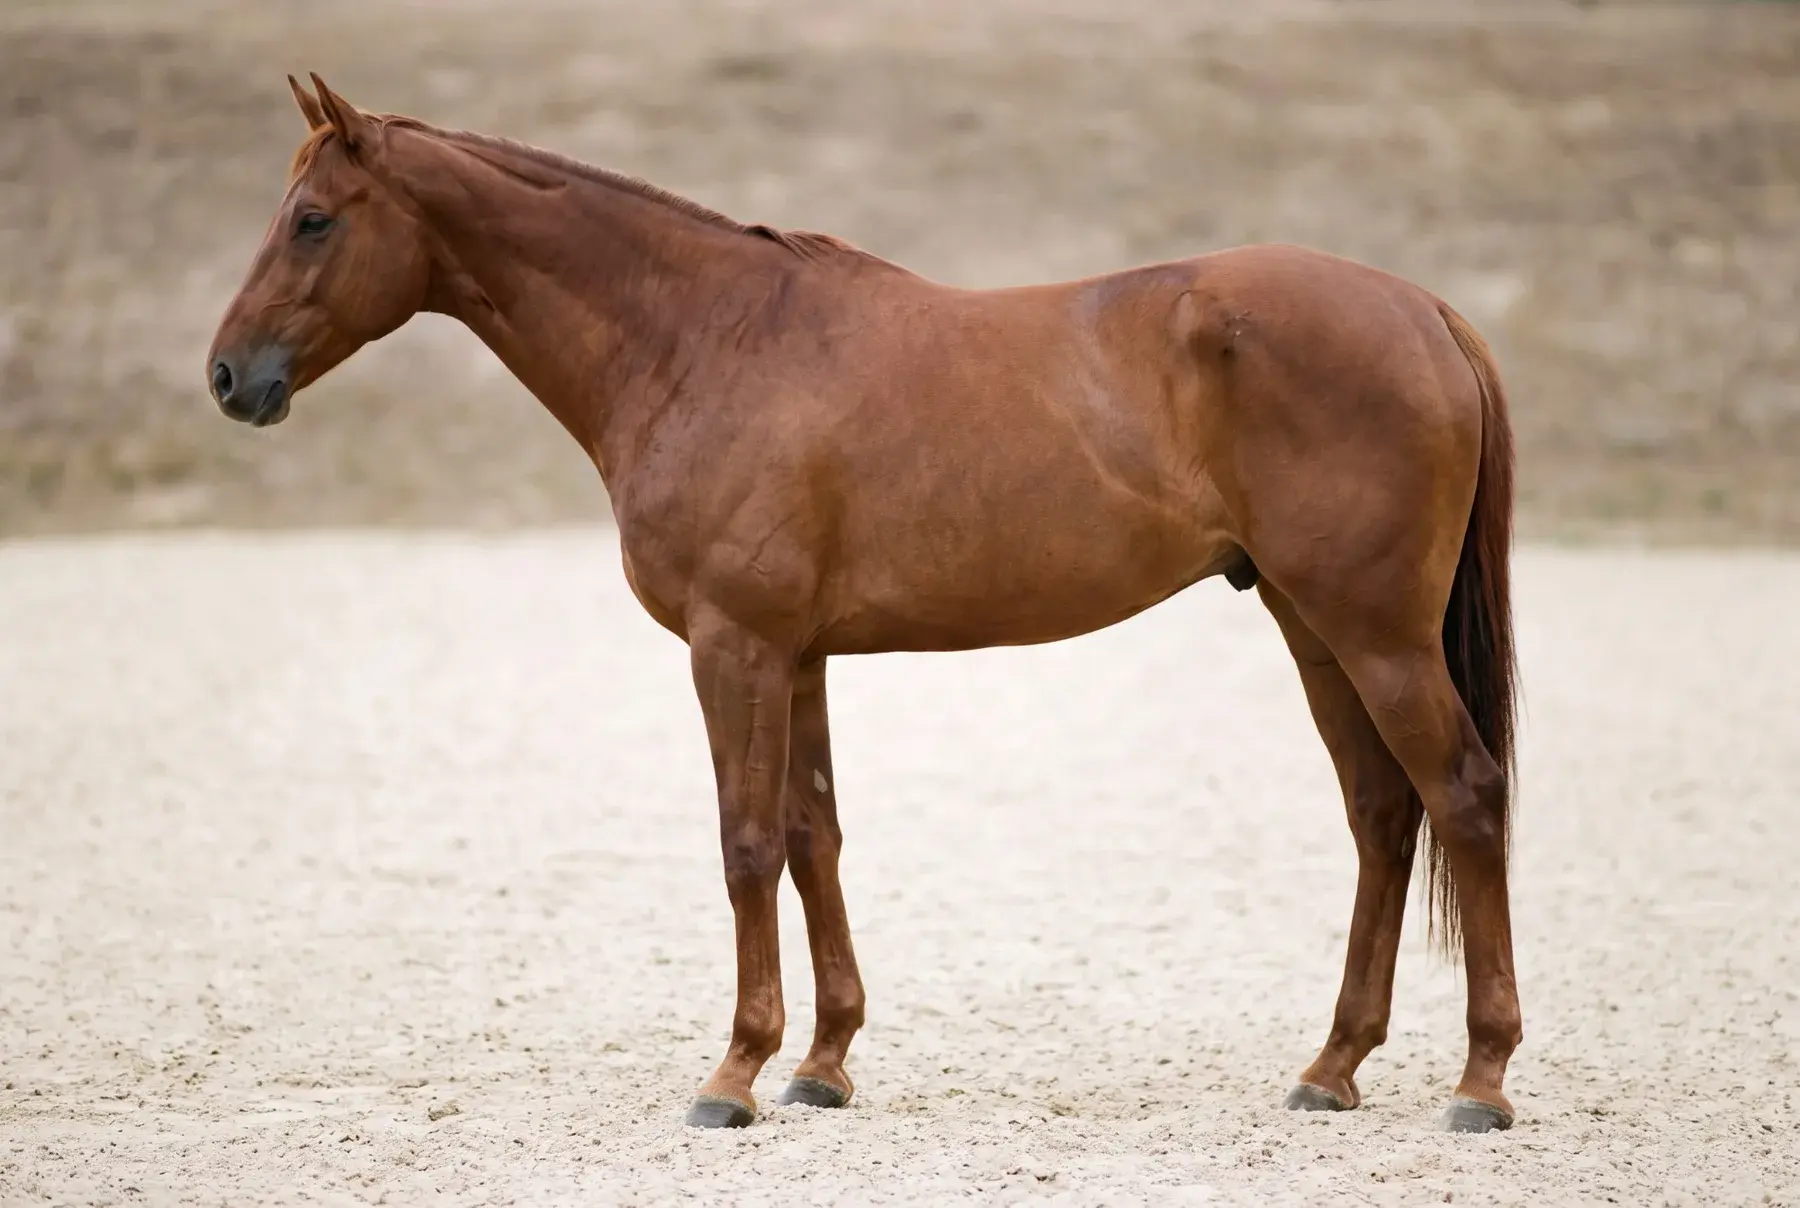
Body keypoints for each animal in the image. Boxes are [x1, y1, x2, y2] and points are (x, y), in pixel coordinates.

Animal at [206, 75, 1522, 1134]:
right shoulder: (797, 656)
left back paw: (1481, 1079)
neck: (704, 340)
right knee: (1382, 813)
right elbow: (811, 836)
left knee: (1462, 794)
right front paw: (823, 1062)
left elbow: (744, 844)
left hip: (1375, 633)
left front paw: (733, 1074)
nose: (228, 376)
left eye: (312, 219)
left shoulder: (732, 648)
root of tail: (1425, 311)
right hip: (1314, 626)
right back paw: (1331, 1067)